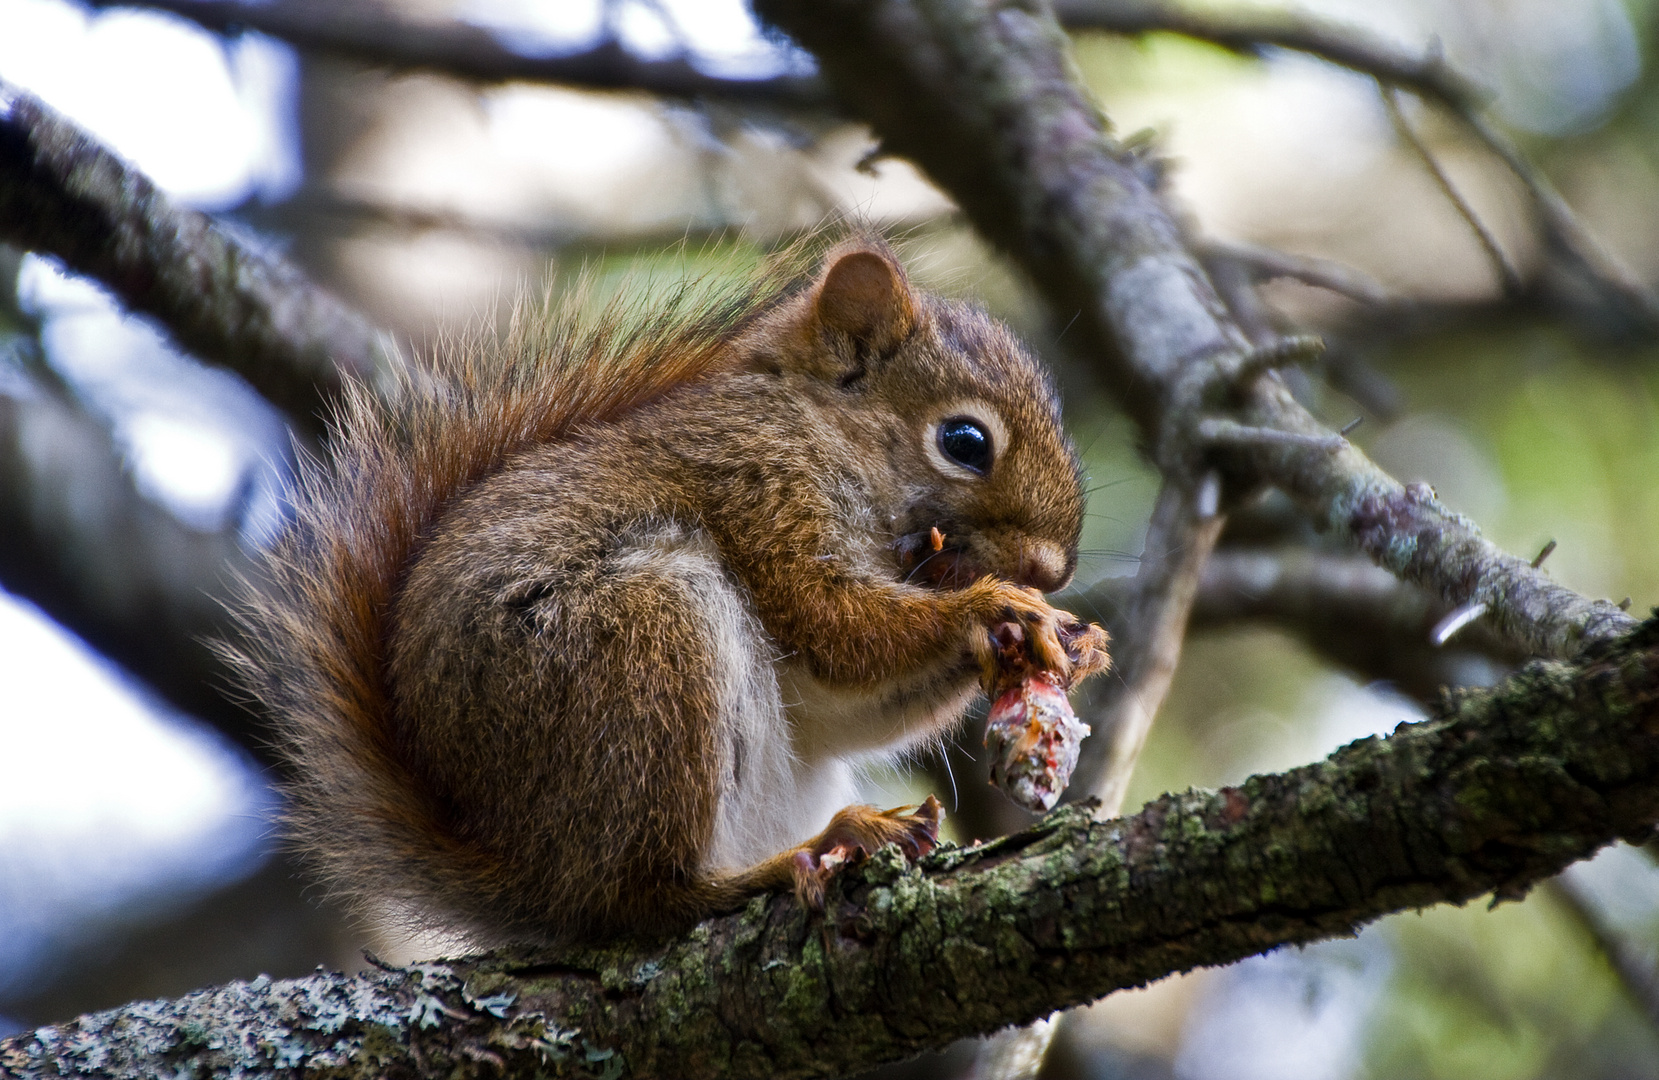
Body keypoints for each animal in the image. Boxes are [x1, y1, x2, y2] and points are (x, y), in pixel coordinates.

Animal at [227, 237, 1108, 948]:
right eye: (965, 441)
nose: (1048, 568)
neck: (819, 427)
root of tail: (533, 876)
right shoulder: (757, 485)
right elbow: (833, 624)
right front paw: (994, 609)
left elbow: (846, 705)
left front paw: (1077, 643)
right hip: (645, 649)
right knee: (643, 898)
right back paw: (791, 860)